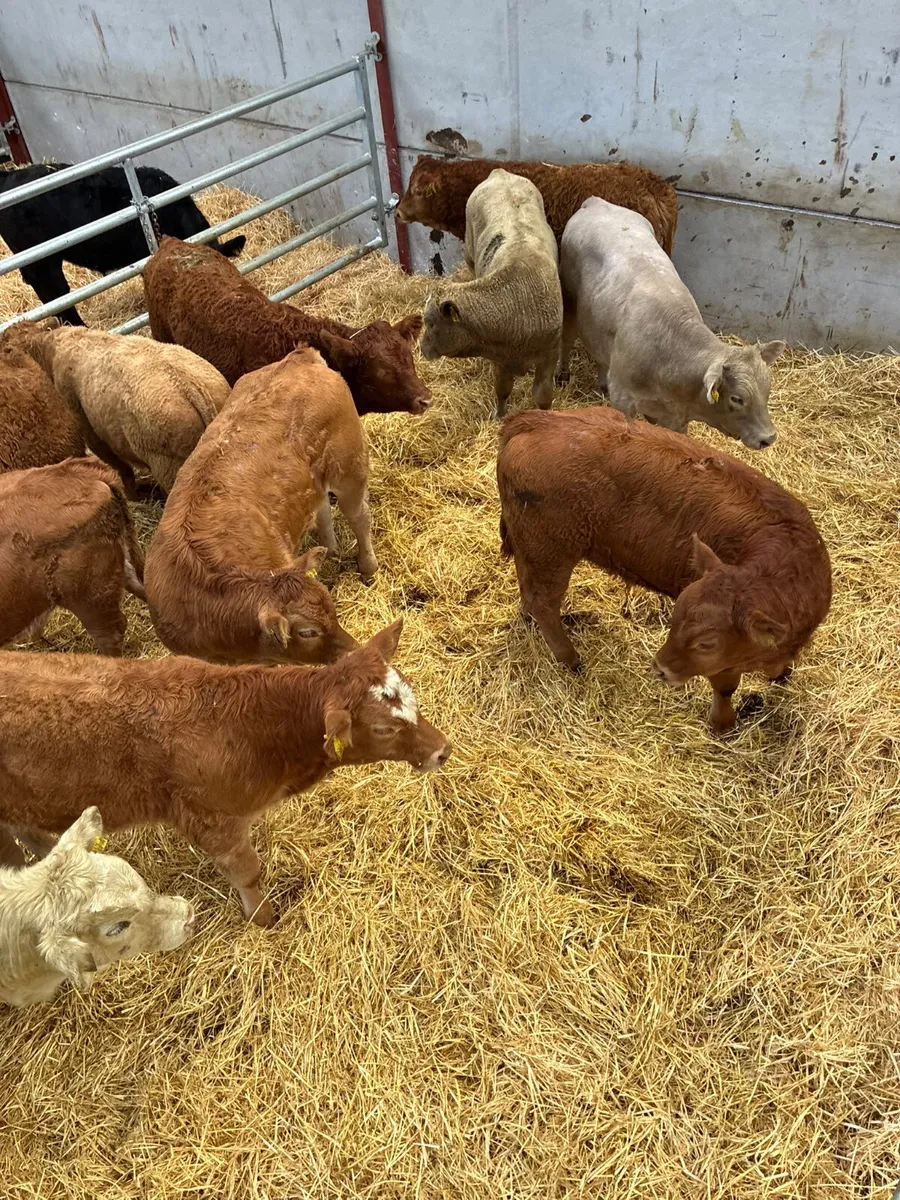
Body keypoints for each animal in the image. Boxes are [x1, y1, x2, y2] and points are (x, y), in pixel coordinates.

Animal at [0, 620, 452, 926]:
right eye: (383, 728)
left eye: (412, 696)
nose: (442, 751)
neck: (249, 725)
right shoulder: (214, 820)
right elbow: (248, 873)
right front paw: (264, 918)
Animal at [144, 346, 371, 665]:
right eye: (307, 632)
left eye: (332, 609)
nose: (354, 652)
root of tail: (298, 357)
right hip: (318, 480)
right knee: (323, 508)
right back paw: (331, 549)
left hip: (349, 466)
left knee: (359, 518)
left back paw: (368, 566)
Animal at [420, 169, 563, 418]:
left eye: (430, 323)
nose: (422, 349)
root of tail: (500, 173)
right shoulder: (499, 359)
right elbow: (502, 388)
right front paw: (500, 416)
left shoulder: (549, 354)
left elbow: (543, 394)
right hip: (470, 257)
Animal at [497, 407, 831, 731]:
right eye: (677, 621)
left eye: (705, 642)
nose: (660, 669)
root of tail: (537, 420)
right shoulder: (725, 663)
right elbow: (725, 687)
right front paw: (722, 725)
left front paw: (781, 674)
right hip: (552, 552)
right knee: (544, 603)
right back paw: (571, 659)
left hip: (533, 548)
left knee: (529, 588)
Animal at [559, 197, 783, 449]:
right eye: (737, 398)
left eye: (767, 390)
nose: (768, 438)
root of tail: (597, 201)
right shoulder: (623, 399)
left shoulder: (675, 417)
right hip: (569, 299)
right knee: (567, 338)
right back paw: (563, 374)